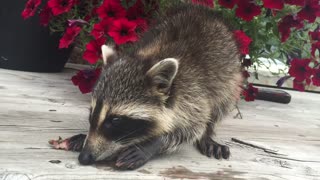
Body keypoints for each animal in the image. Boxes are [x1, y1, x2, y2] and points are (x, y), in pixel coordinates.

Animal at [59, 4, 242, 170]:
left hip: (230, 78)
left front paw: (151, 144)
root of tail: (204, 11)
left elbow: (192, 128)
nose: (84, 157)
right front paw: (85, 137)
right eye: (92, 113)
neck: (149, 57)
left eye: (116, 120)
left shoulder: (194, 95)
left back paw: (208, 134)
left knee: (220, 104)